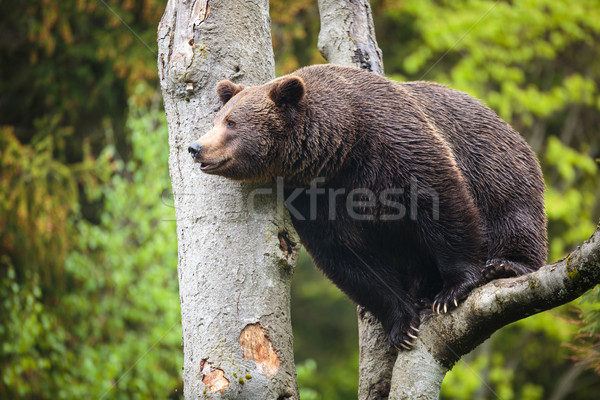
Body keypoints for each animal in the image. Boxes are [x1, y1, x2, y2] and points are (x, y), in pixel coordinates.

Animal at [188, 65, 548, 350]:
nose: (196, 147)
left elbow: (441, 205)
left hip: (496, 164)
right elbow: (349, 261)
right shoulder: (315, 197)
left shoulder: (397, 145)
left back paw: (505, 265)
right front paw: (402, 325)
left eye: (232, 122)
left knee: (513, 212)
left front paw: (453, 290)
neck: (340, 148)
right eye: (217, 119)